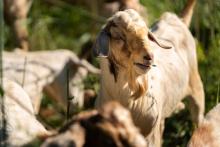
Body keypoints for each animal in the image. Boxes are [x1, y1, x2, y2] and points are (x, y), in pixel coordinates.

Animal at [93, 0, 205, 146]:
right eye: (119, 36)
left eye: (147, 34)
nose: (149, 57)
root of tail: (178, 19)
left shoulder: (150, 136)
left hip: (196, 88)